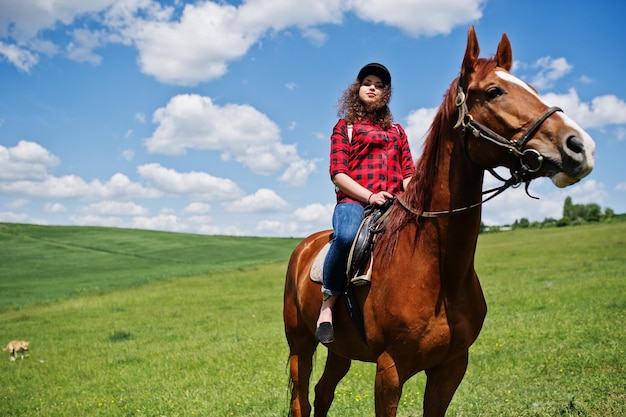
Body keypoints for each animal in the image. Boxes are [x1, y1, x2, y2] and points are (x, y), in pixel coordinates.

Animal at [282, 26, 596, 416]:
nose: (579, 146)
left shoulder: (451, 367)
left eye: (533, 88)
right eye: (494, 91)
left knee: (324, 392)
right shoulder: (390, 370)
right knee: (303, 399)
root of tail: (304, 246)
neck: (438, 270)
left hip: (341, 350)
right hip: (301, 344)